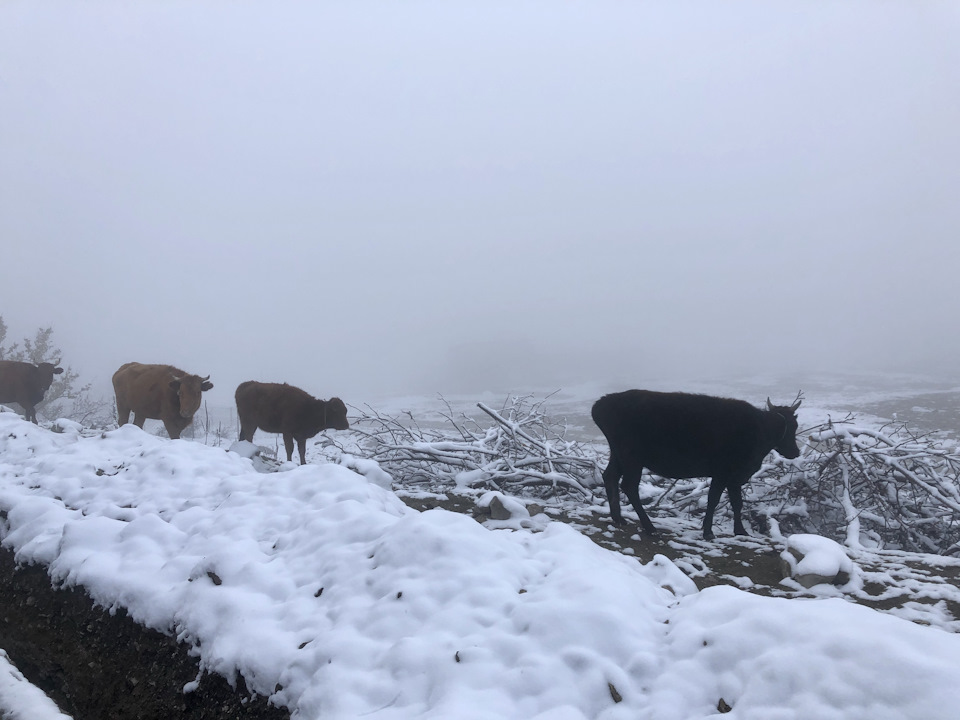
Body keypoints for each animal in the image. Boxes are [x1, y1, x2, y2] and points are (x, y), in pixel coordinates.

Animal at [592, 390, 804, 536]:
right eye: (791, 427)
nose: (796, 452)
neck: (759, 429)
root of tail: (602, 403)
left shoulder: (734, 477)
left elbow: (737, 503)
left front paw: (740, 531)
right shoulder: (722, 473)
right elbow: (713, 500)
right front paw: (708, 532)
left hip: (618, 455)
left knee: (610, 476)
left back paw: (618, 518)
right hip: (632, 458)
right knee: (629, 486)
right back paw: (650, 527)